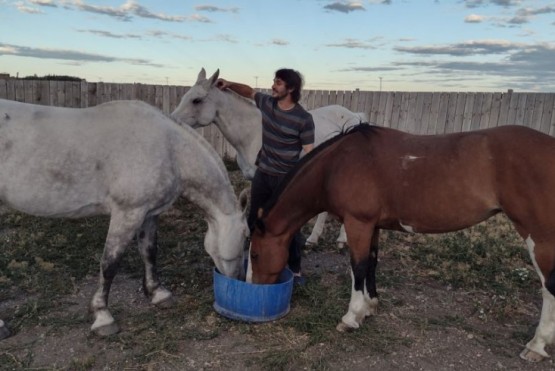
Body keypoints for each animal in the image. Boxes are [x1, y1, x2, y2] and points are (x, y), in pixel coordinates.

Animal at [250, 124, 555, 364]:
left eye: (254, 255)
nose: (256, 288)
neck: (337, 164)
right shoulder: (371, 226)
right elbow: (371, 264)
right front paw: (369, 307)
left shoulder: (358, 223)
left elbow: (357, 267)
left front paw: (351, 317)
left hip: (539, 237)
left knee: (548, 289)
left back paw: (536, 345)